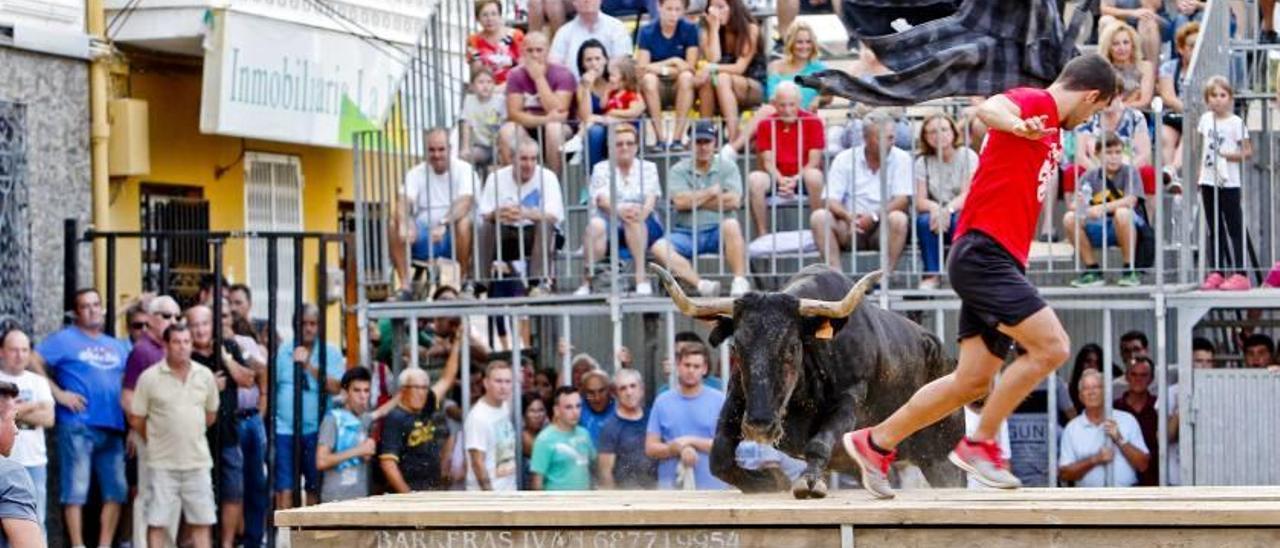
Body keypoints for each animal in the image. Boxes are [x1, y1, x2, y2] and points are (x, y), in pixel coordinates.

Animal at [650, 263, 962, 499]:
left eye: (791, 347)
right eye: (737, 347)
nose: (760, 425)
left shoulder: (850, 399)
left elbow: (820, 442)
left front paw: (808, 480)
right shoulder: (738, 399)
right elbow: (719, 457)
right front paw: (770, 480)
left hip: (939, 456)